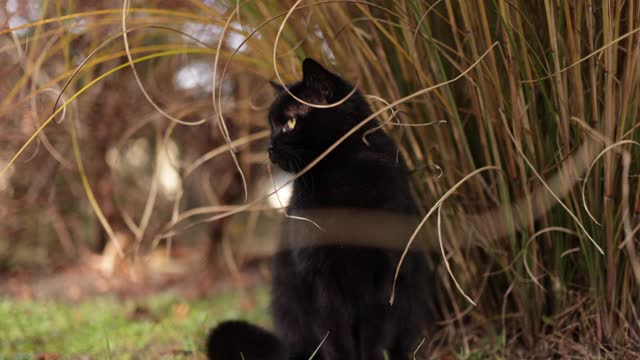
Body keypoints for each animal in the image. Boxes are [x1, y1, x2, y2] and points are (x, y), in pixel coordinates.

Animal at [208, 59, 432, 360]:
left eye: (290, 123)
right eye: (270, 125)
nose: (268, 147)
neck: (341, 177)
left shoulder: (383, 273)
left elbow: (372, 333)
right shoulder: (319, 277)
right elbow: (335, 334)